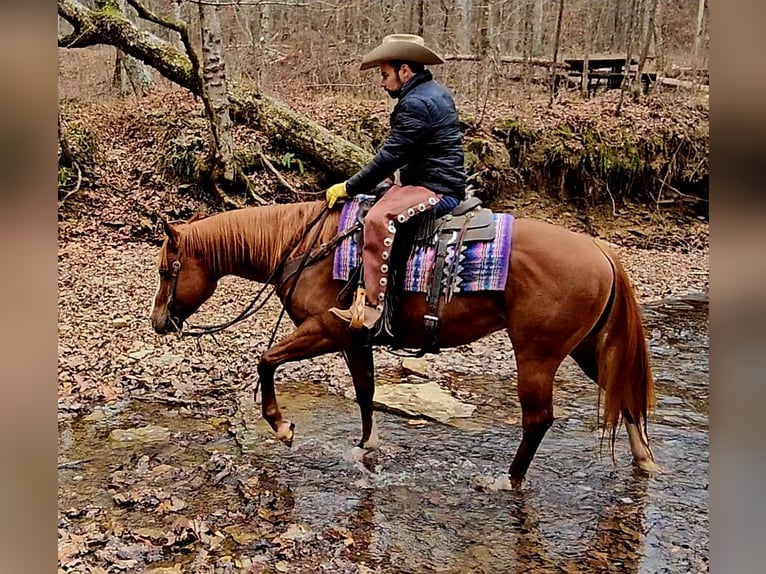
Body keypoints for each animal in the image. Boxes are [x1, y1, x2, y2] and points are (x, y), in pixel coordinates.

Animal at [150, 200, 657, 488]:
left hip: (537, 354)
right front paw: (366, 447)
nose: (158, 322)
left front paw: (281, 427)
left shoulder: (327, 329)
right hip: (586, 347)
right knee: (623, 395)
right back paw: (644, 461)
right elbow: (365, 392)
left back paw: (508, 480)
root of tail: (601, 250)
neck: (307, 245)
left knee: (538, 420)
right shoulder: (355, 339)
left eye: (166, 270)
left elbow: (266, 359)